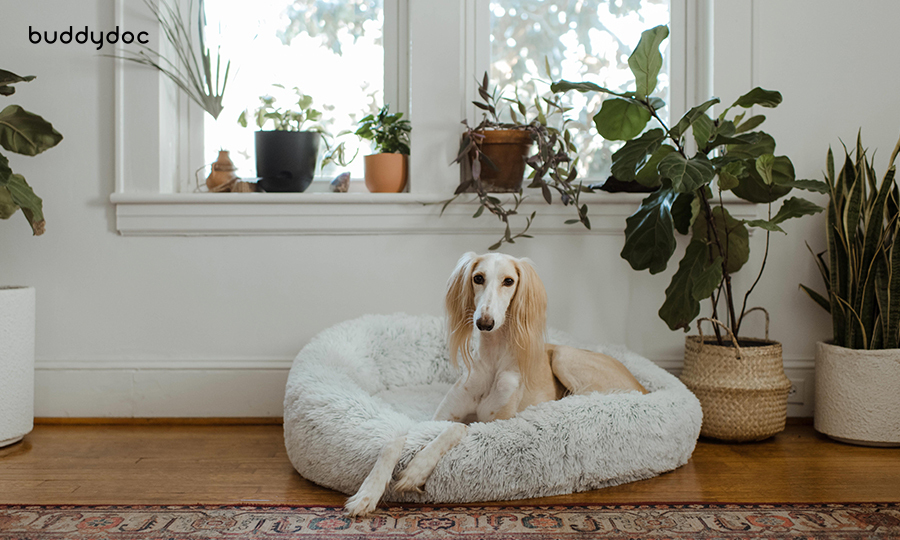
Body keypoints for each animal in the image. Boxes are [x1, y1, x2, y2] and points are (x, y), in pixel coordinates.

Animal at [344, 252, 648, 516]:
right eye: (478, 278)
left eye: (509, 281)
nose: (485, 322)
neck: (492, 363)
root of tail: (643, 386)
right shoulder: (436, 418)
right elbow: (394, 441)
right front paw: (367, 493)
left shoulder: (495, 425)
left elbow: (457, 428)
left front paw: (416, 470)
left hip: (564, 357)